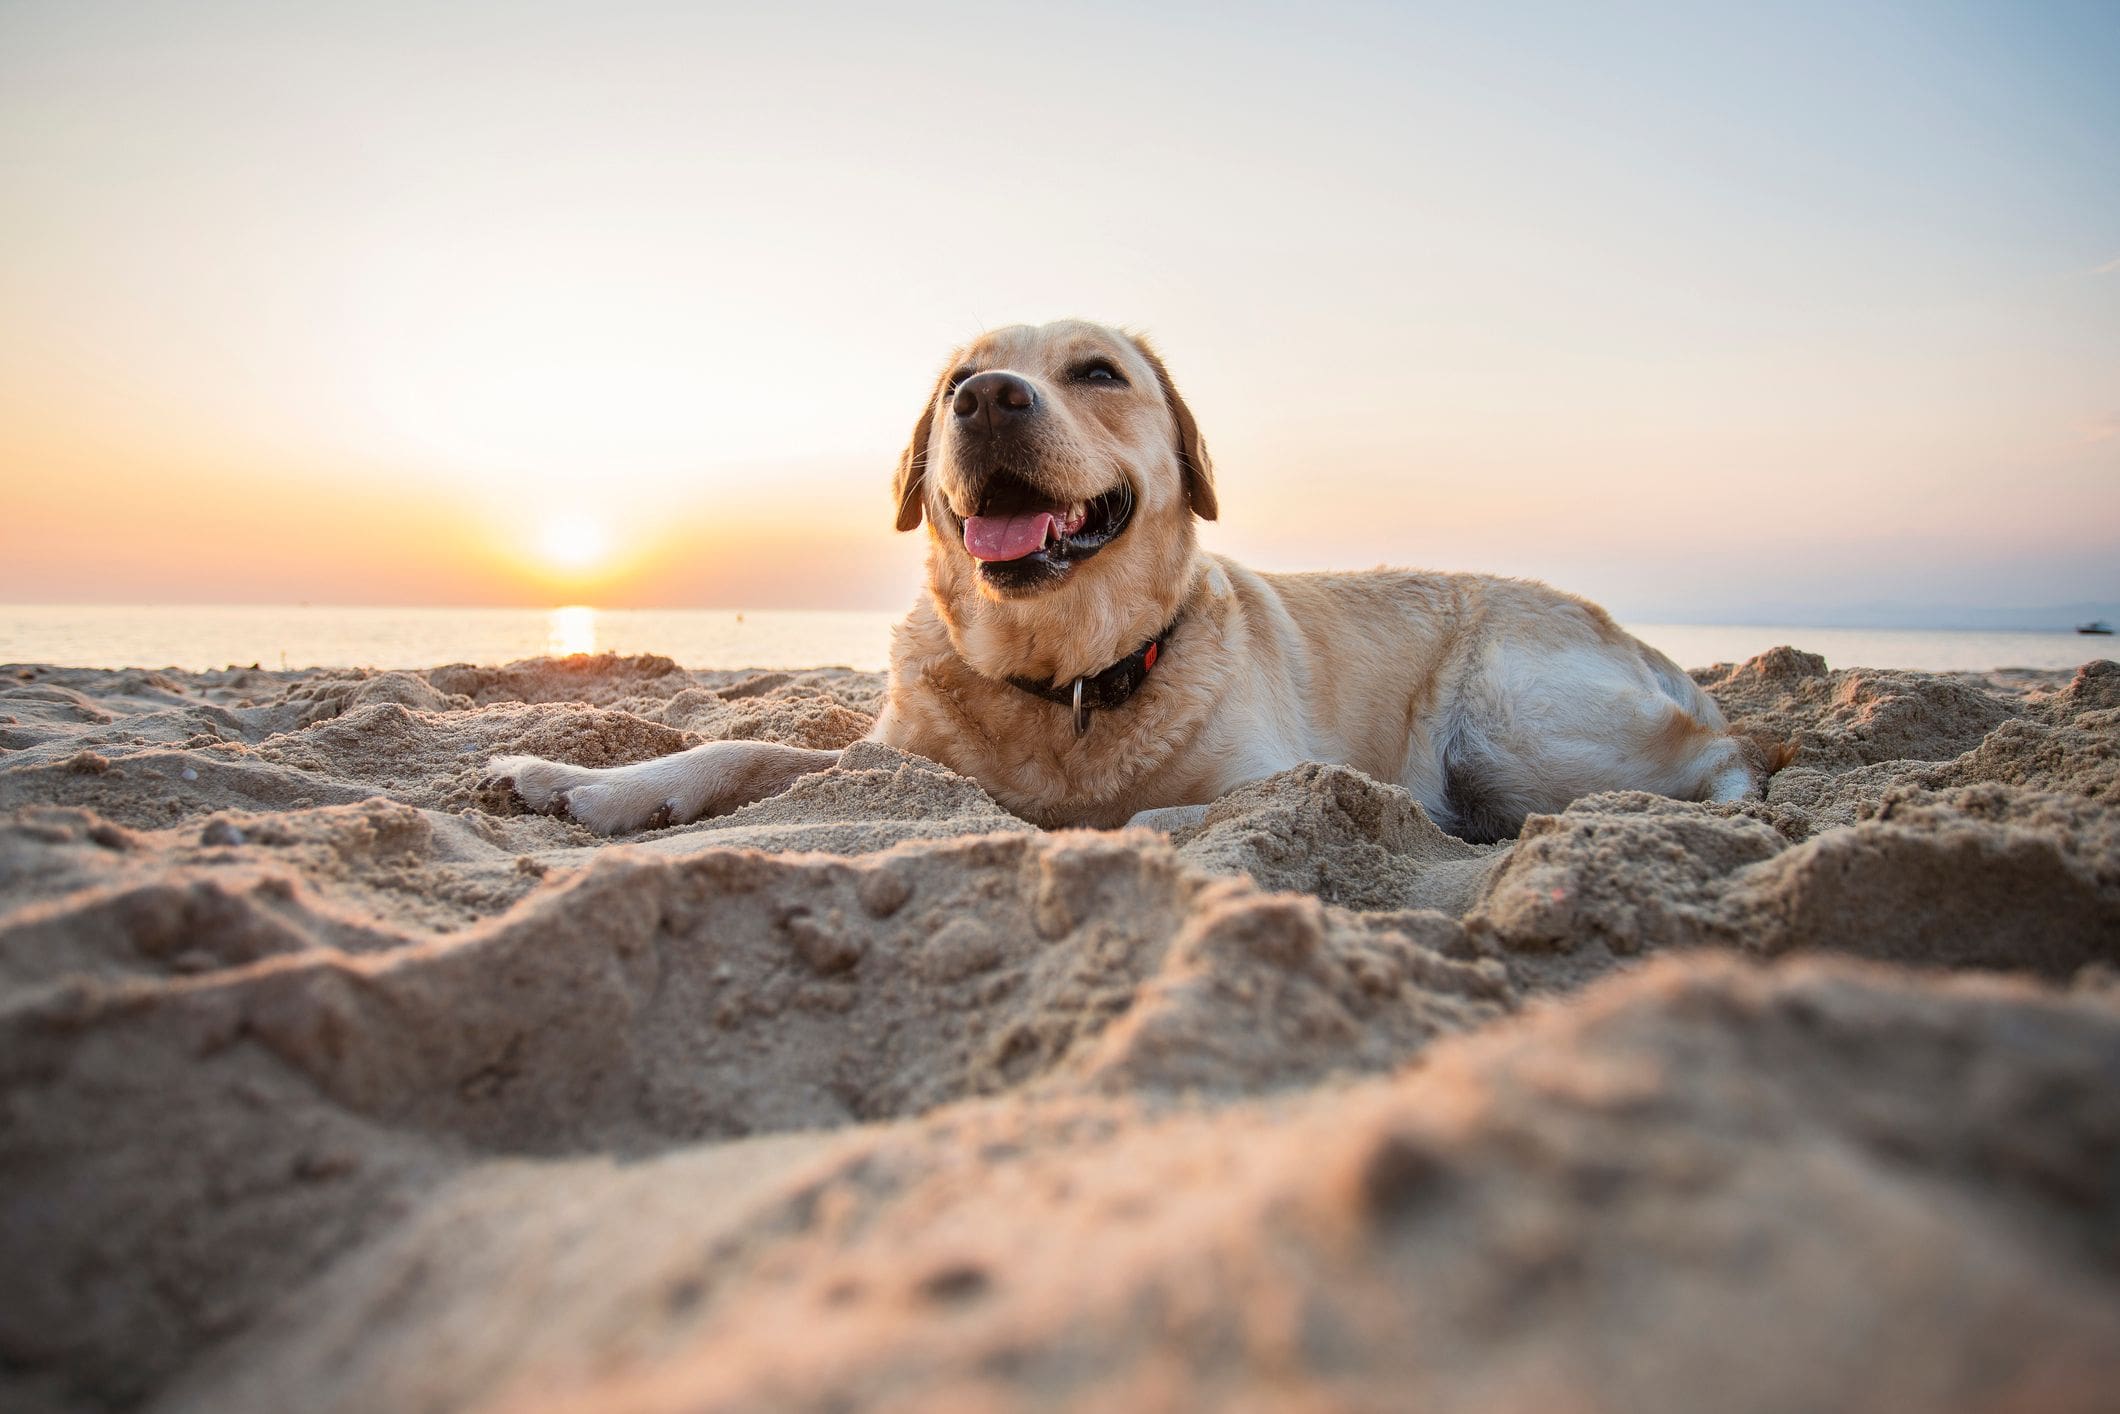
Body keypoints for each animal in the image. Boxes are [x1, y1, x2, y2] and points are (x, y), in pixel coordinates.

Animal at [487, 320, 1780, 839]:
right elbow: (746, 748)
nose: (984, 397)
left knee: (1713, 763)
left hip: (1514, 718)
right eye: (955, 377)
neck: (1060, 672)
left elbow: (1178, 809)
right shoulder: (891, 755)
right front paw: (581, 779)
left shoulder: (1271, 774)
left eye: (1096, 371)